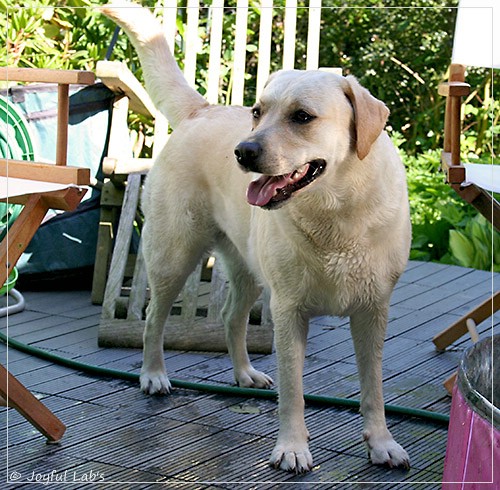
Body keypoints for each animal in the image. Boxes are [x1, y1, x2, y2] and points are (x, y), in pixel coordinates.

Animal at [101, 1, 410, 472]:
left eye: (302, 116)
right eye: (257, 111)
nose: (243, 152)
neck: (336, 215)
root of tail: (204, 109)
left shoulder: (373, 310)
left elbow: (373, 388)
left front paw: (381, 443)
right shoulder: (288, 311)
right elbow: (293, 391)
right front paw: (293, 447)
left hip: (247, 269)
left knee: (231, 317)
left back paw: (243, 373)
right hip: (174, 255)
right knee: (153, 317)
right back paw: (153, 375)